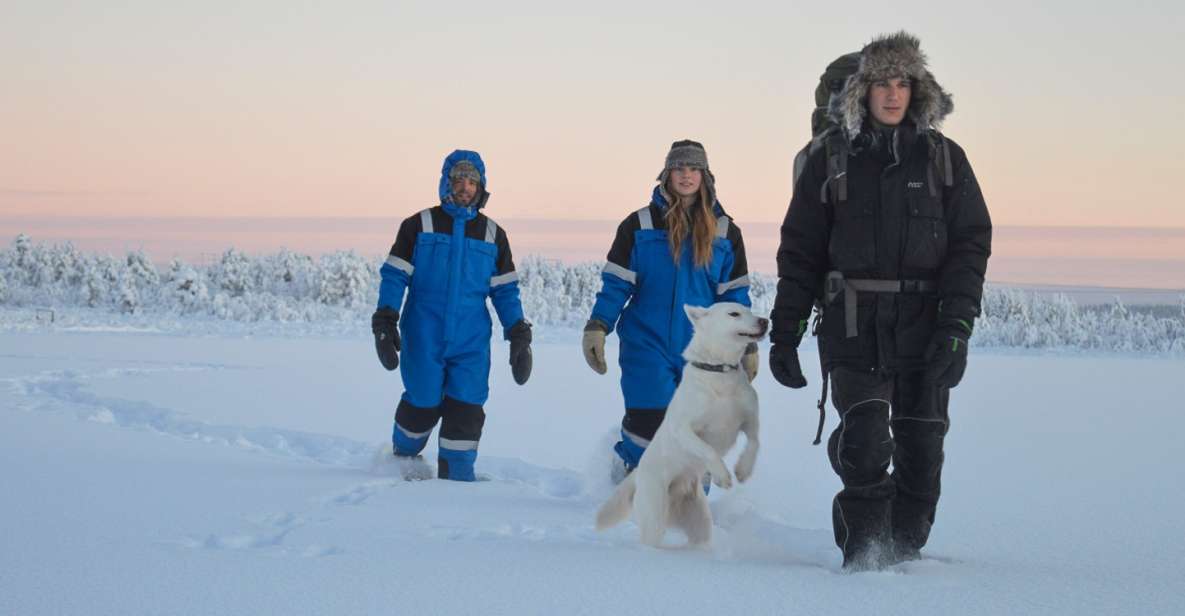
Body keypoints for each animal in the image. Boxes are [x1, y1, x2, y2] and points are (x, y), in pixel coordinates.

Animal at [592, 300, 767, 547]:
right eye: (734, 314)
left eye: (749, 310)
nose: (765, 321)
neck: (720, 373)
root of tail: (638, 474)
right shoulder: (683, 429)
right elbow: (709, 450)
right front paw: (723, 476)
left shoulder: (750, 421)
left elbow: (754, 443)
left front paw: (743, 469)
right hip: (654, 518)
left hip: (701, 525)